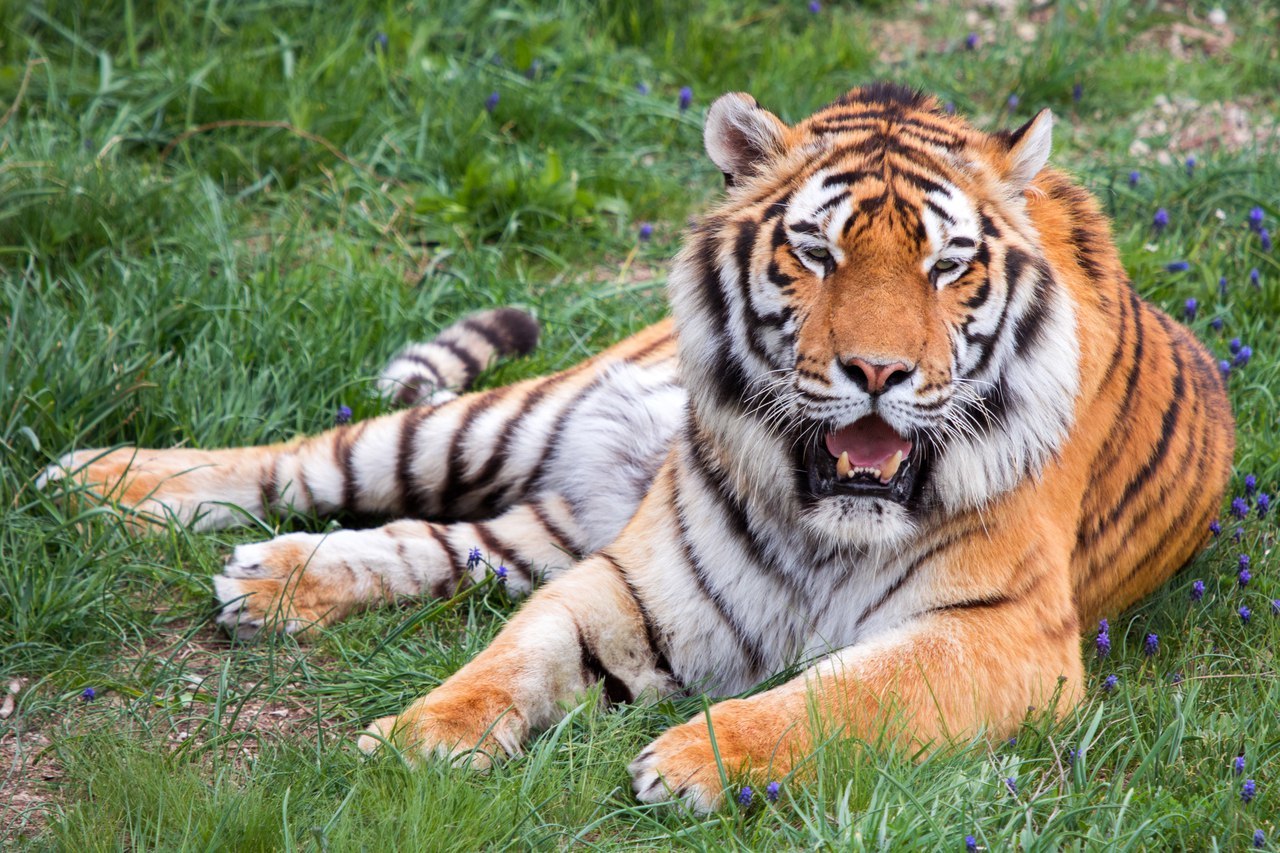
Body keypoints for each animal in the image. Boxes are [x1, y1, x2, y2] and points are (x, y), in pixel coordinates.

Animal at [45, 83, 1233, 809]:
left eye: (948, 265)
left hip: (545, 518)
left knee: (439, 542)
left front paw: (696, 760)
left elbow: (847, 691)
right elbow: (506, 659)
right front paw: (419, 740)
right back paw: (96, 482)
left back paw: (272, 582)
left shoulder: (1005, 635)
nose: (878, 373)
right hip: (501, 422)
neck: (829, 520)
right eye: (816, 251)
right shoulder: (633, 578)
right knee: (313, 457)